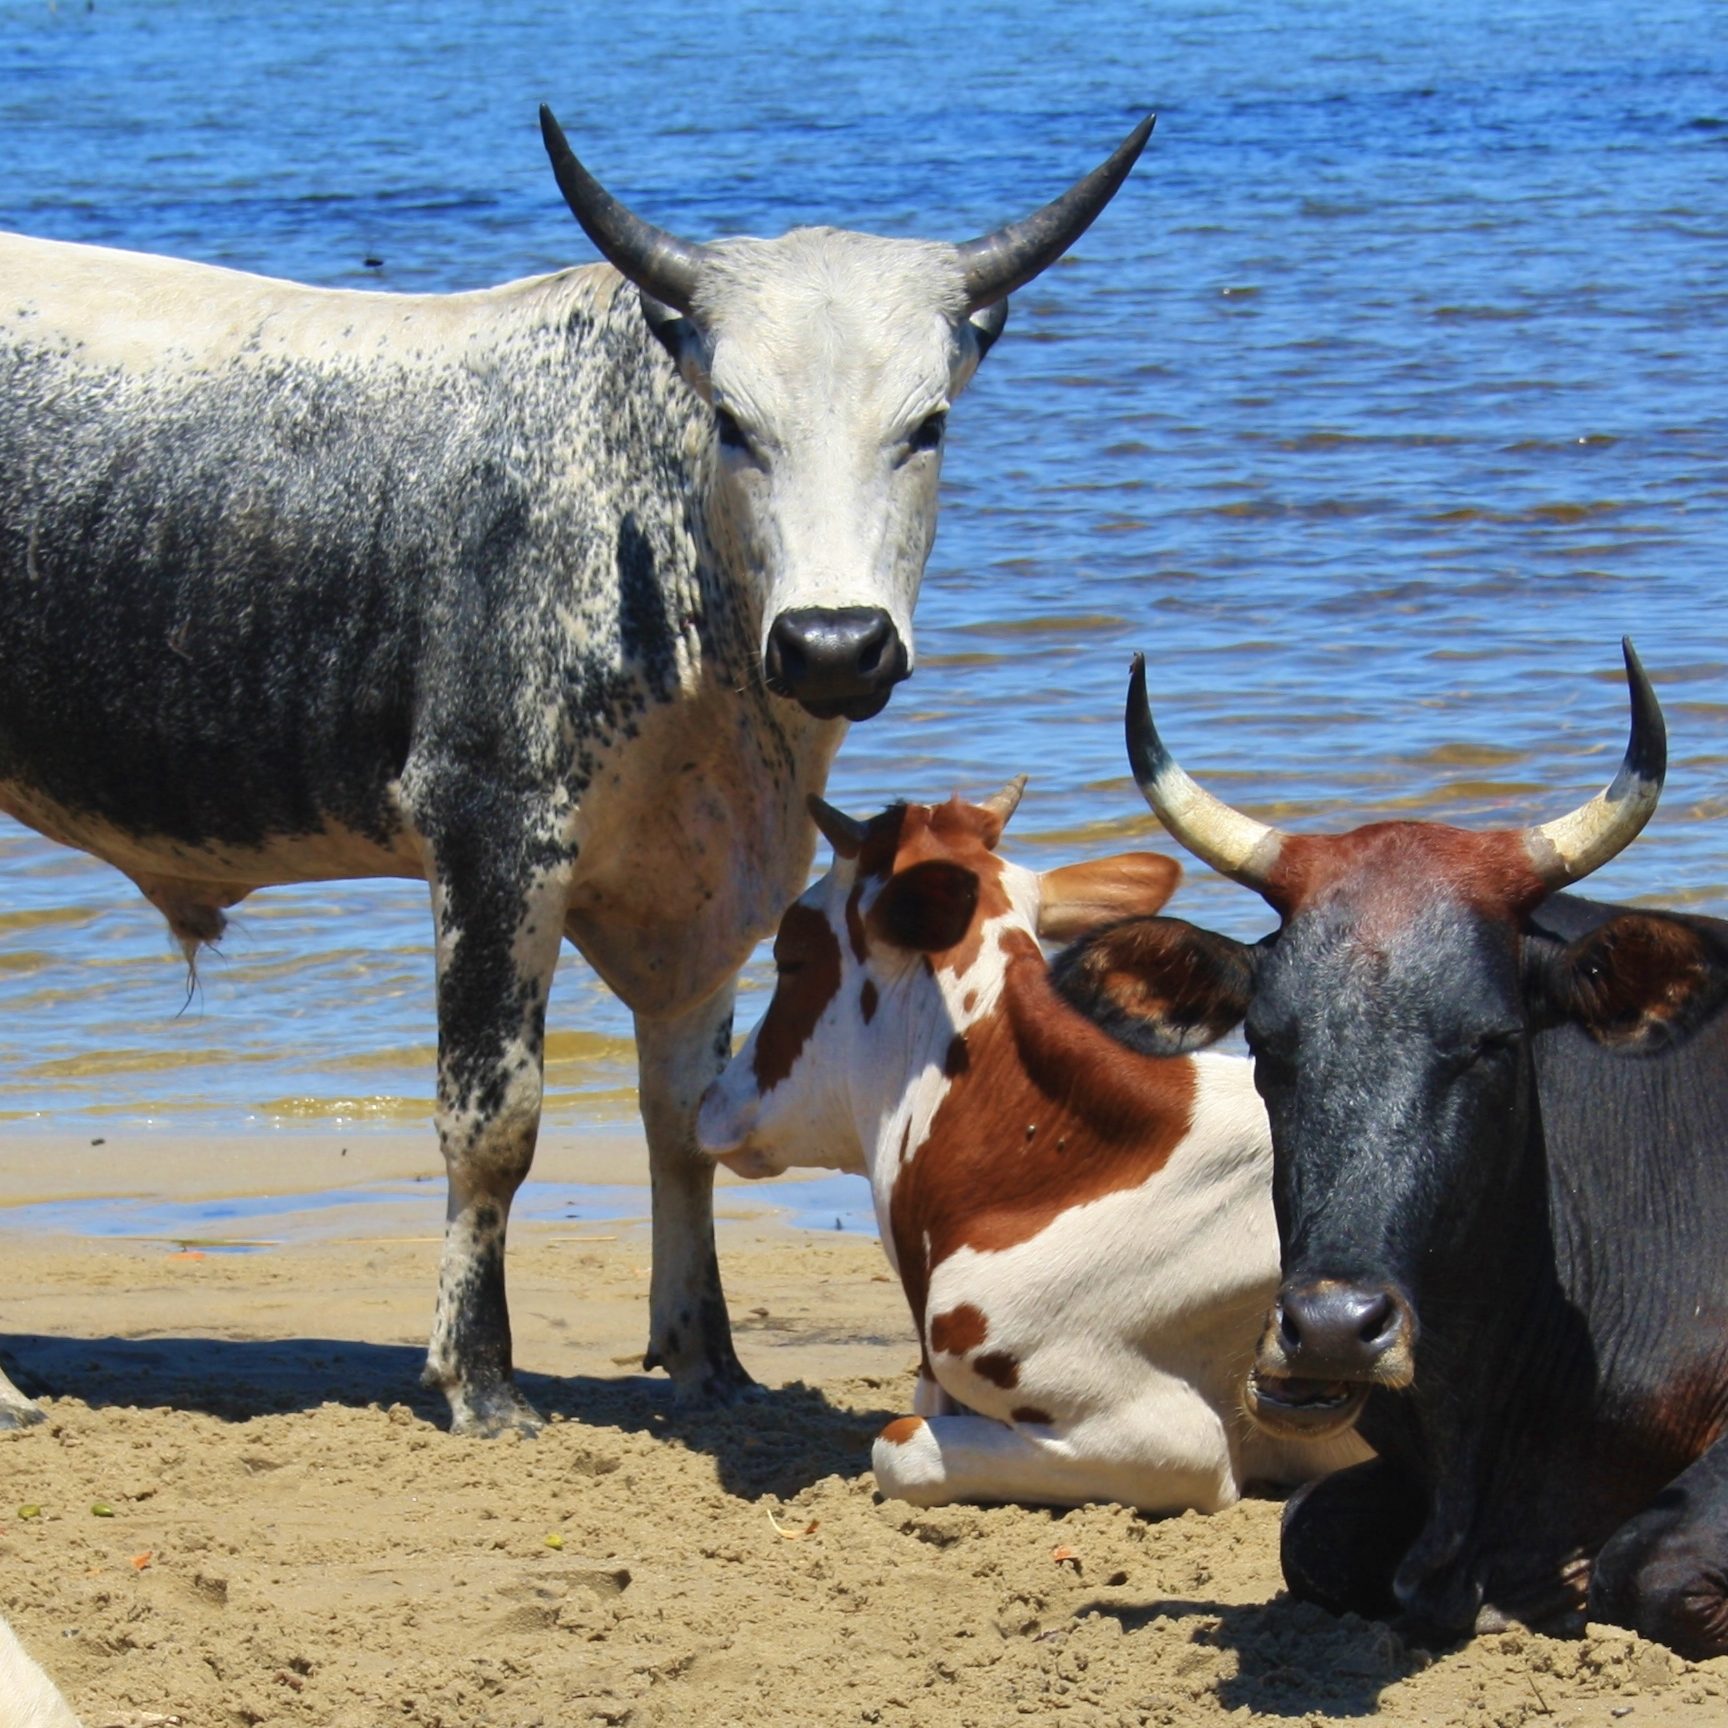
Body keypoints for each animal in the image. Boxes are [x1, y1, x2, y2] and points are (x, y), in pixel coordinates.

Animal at [3, 101, 1161, 1437]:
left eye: (926, 425)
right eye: (734, 423)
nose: (834, 643)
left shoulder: (708, 890)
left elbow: (687, 1122)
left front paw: (710, 1360)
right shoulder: (494, 837)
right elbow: (492, 1120)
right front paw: (480, 1376)